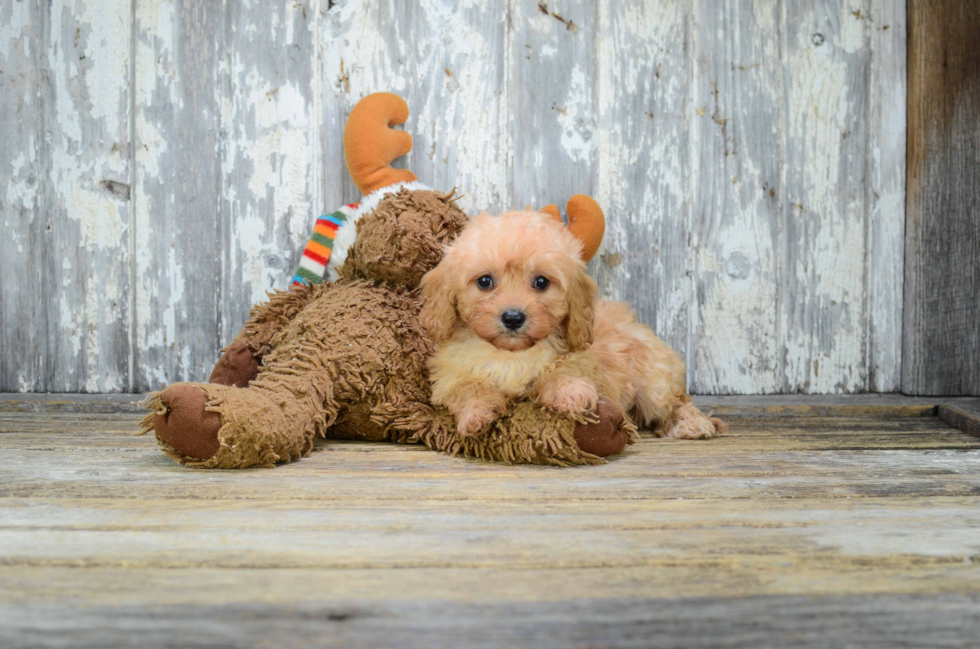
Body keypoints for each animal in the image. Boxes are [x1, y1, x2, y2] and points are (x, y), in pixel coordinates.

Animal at [418, 208, 724, 440]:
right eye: (484, 281)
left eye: (541, 282)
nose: (513, 317)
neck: (511, 354)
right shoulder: (450, 376)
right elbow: (469, 388)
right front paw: (476, 414)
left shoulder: (582, 355)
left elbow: (562, 369)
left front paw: (571, 394)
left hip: (653, 379)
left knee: (675, 402)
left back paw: (693, 424)